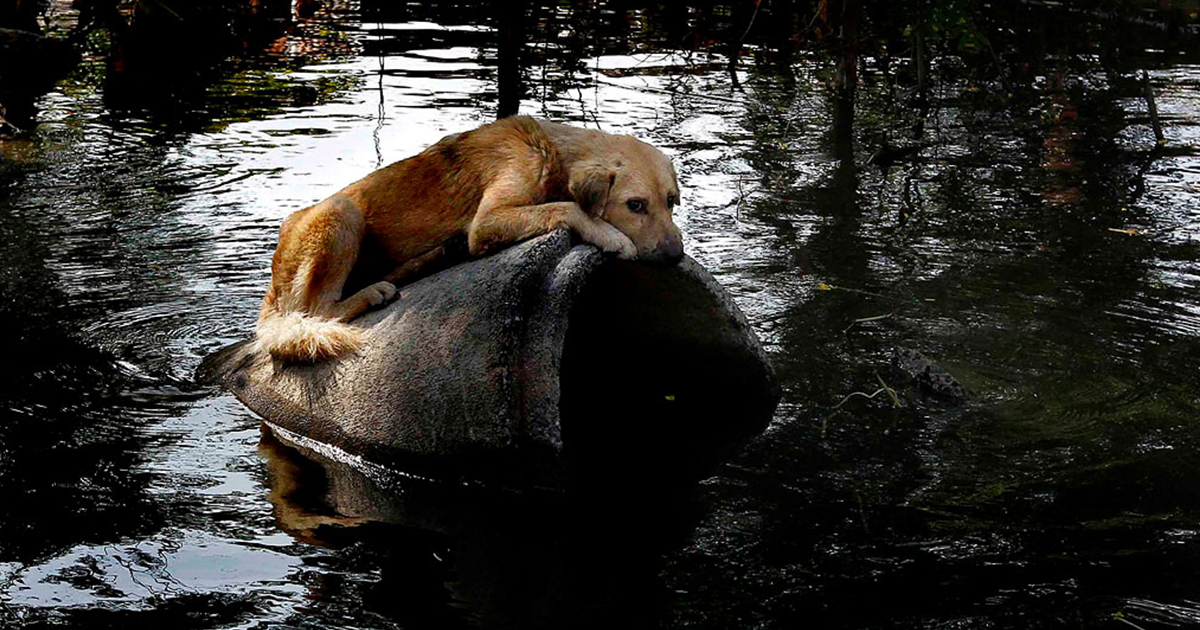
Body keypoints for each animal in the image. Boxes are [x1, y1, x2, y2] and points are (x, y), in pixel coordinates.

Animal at [253, 115, 686, 360]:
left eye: (670, 201)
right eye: (635, 205)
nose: (676, 255)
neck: (551, 151)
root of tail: (272, 288)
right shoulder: (489, 221)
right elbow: (568, 207)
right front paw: (611, 236)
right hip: (342, 213)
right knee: (319, 310)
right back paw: (374, 291)